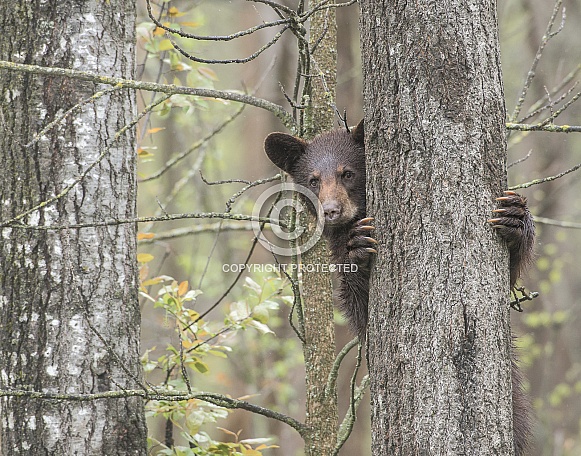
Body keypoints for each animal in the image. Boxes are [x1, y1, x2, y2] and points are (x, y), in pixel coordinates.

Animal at [262, 119, 536, 454]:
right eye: (313, 180)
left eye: (347, 173)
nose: (331, 210)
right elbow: (358, 306)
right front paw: (358, 246)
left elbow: (508, 272)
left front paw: (515, 217)